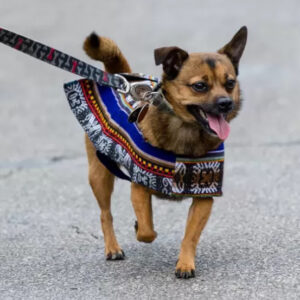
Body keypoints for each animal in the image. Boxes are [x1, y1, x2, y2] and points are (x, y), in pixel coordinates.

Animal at [81, 26, 246, 278]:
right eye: (200, 86)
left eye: (229, 83)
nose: (226, 103)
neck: (186, 131)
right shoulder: (139, 188)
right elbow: (147, 231)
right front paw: (141, 228)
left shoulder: (204, 196)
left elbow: (190, 235)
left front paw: (185, 263)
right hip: (99, 174)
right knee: (105, 213)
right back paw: (112, 247)